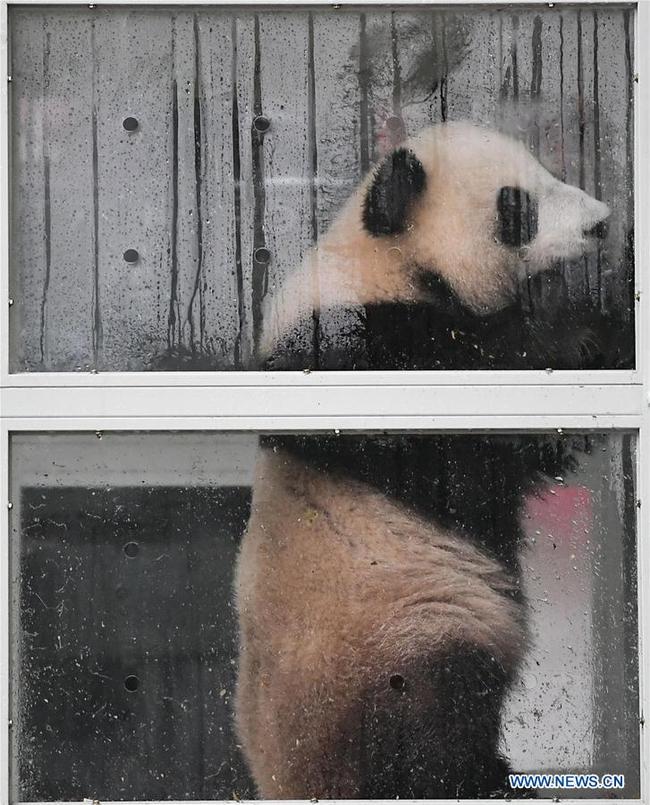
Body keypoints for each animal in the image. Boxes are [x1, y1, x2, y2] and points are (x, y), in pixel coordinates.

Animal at [232, 121, 612, 796]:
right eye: (517, 205)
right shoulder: (347, 350)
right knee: (433, 721)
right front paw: (580, 330)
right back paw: (478, 776)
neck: (388, 263)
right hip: (398, 636)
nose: (601, 223)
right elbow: (451, 435)